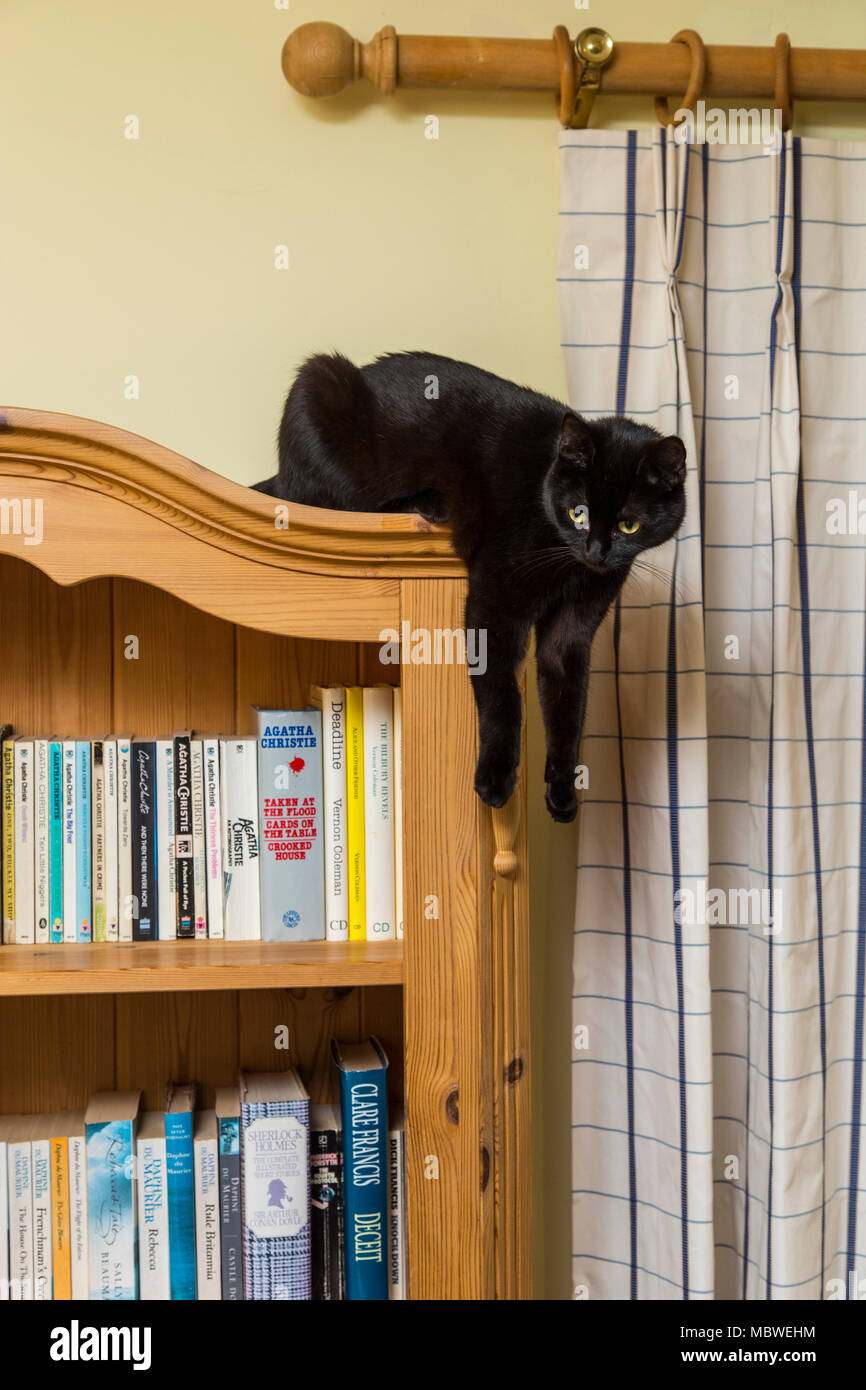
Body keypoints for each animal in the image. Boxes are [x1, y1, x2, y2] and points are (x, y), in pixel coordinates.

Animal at [254, 353, 686, 817]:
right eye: (579, 513)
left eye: (629, 526)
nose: (597, 552)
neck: (565, 559)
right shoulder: (494, 604)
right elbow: (503, 696)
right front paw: (495, 780)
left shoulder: (573, 631)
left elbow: (568, 708)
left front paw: (562, 794)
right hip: (320, 384)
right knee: (333, 501)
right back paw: (428, 502)